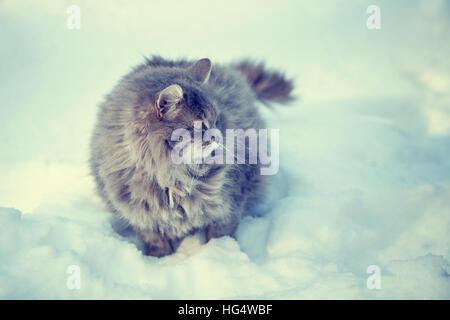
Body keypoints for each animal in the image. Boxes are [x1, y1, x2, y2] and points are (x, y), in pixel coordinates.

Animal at [89, 55, 294, 258]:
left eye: (216, 119)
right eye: (201, 125)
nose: (219, 136)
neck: (172, 176)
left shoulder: (228, 205)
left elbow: (220, 234)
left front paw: (220, 252)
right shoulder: (140, 213)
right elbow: (155, 238)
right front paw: (160, 258)